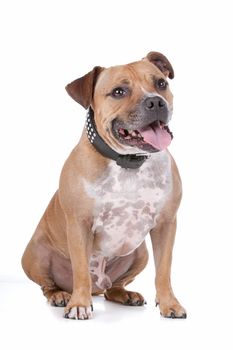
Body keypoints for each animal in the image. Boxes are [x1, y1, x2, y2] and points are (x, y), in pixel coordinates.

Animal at [21, 51, 186, 320]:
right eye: (119, 91)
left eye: (161, 83)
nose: (155, 102)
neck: (128, 162)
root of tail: (99, 286)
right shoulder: (79, 224)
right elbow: (80, 270)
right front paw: (79, 304)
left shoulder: (165, 224)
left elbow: (164, 270)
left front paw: (169, 304)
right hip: (34, 254)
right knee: (49, 284)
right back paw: (60, 295)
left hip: (140, 253)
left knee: (113, 287)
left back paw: (125, 294)